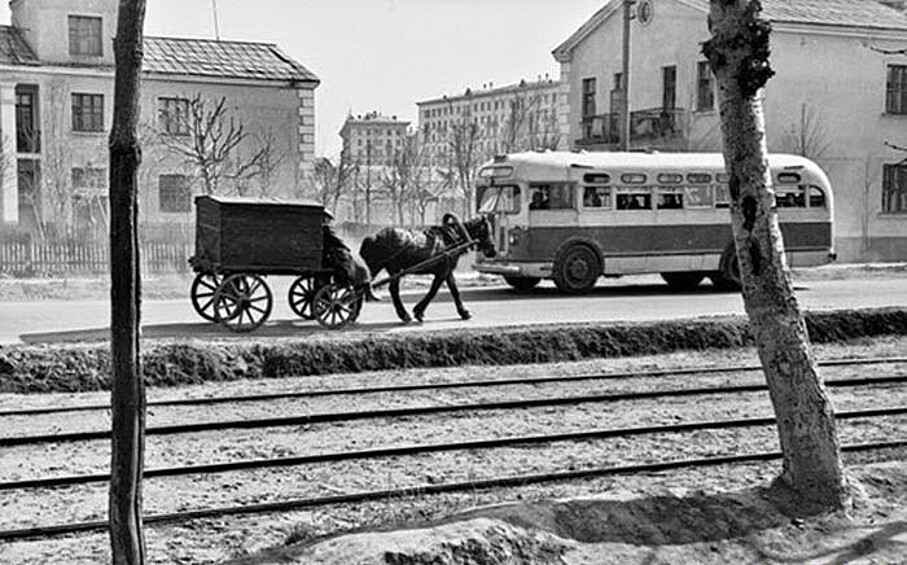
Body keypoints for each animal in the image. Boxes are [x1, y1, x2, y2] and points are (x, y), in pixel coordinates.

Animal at [358, 214, 496, 324]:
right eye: (487, 231)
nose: (492, 251)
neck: (452, 240)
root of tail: (373, 237)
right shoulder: (441, 273)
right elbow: (433, 292)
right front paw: (418, 311)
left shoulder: (447, 271)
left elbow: (454, 291)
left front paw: (464, 312)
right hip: (387, 268)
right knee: (390, 289)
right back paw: (404, 315)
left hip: (382, 268)